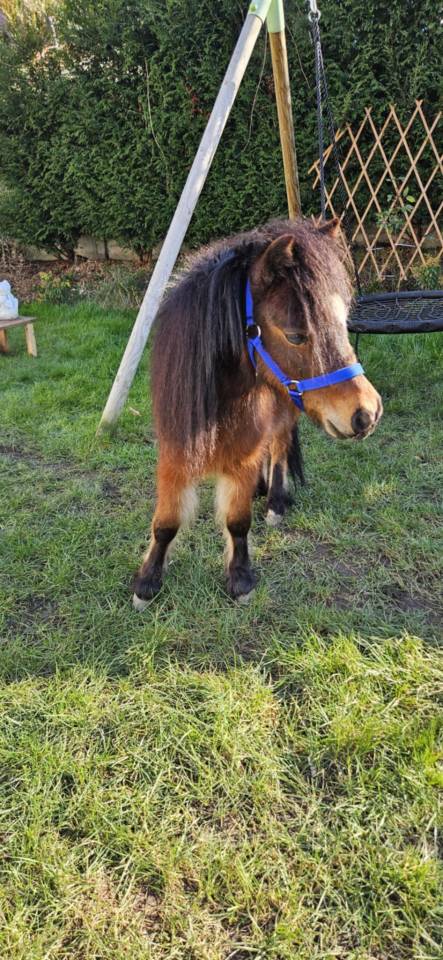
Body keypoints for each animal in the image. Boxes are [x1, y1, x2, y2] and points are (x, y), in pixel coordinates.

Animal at [133, 217, 382, 607]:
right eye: (295, 335)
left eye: (343, 323)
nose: (366, 414)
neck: (221, 398)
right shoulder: (175, 454)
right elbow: (166, 522)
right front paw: (147, 581)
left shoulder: (242, 456)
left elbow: (238, 521)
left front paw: (240, 577)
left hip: (284, 415)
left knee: (278, 448)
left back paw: (275, 499)